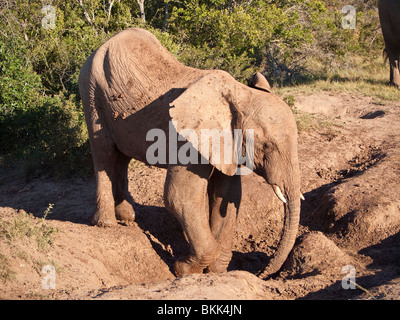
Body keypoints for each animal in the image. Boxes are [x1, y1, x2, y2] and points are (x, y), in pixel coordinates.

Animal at [78, 28, 302, 278]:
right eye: (266, 146)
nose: (262, 274)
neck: (239, 94)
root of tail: (105, 44)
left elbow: (228, 195)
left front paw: (215, 272)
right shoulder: (187, 140)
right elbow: (179, 197)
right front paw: (184, 270)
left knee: (122, 157)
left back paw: (127, 217)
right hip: (91, 91)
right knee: (104, 153)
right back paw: (107, 223)